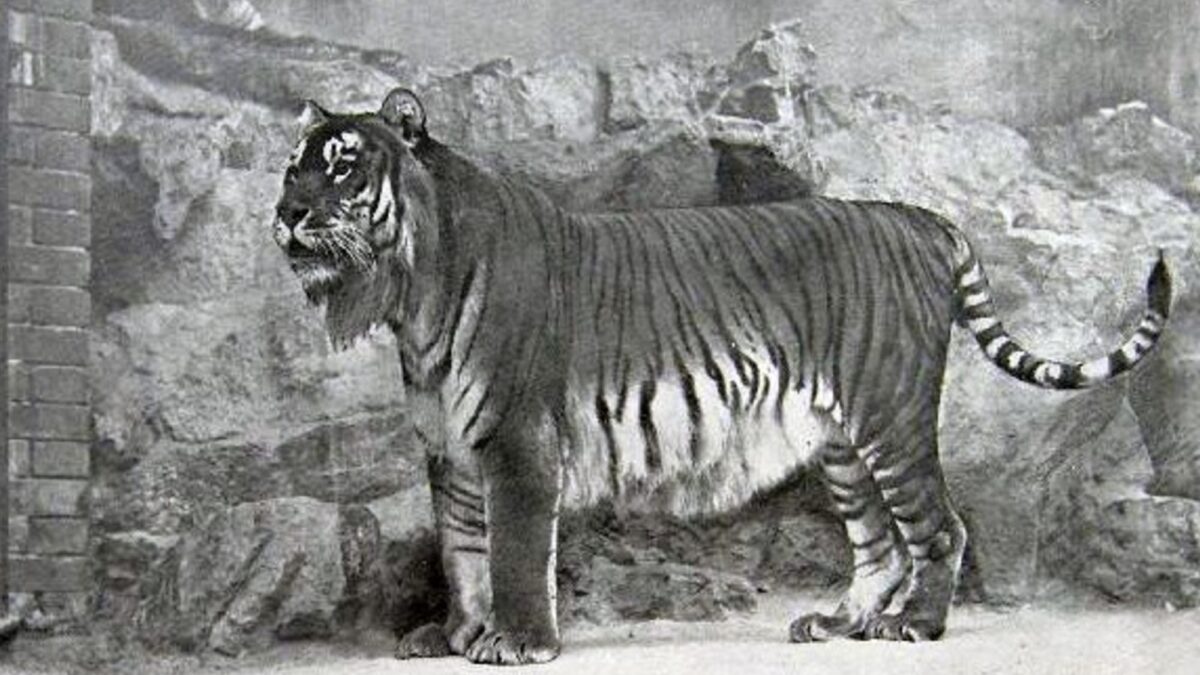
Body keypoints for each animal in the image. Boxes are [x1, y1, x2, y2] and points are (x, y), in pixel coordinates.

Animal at [272, 88, 1172, 665]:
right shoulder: (450, 448)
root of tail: (918, 217)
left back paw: (914, 625)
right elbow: (461, 549)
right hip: (842, 442)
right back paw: (837, 622)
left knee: (939, 527)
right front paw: (455, 634)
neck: (412, 293)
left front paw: (518, 642)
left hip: (891, 415)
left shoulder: (516, 442)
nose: (286, 213)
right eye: (291, 167)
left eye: (344, 166)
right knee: (877, 541)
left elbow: (515, 551)